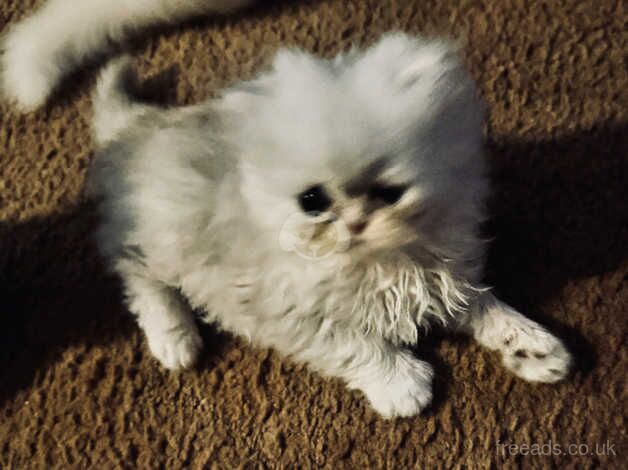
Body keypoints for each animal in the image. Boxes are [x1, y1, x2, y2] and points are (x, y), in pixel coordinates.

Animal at [88, 34, 576, 418]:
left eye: (390, 193)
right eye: (312, 201)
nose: (356, 223)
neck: (384, 261)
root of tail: (142, 124)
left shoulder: (443, 281)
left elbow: (491, 309)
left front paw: (534, 349)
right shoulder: (288, 313)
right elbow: (359, 345)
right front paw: (403, 387)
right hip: (163, 241)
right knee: (132, 271)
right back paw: (176, 341)